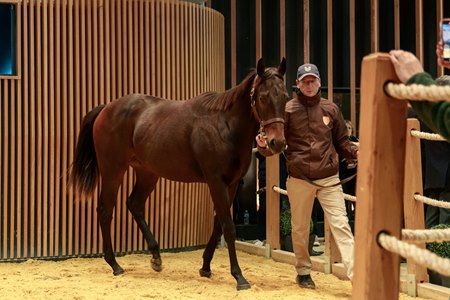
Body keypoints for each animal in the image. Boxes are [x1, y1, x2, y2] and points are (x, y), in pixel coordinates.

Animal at [70, 57, 288, 290]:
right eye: (262, 97)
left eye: (285, 96)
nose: (277, 142)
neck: (224, 126)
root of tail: (106, 108)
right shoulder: (216, 182)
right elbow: (228, 227)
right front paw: (239, 277)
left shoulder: (231, 184)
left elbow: (218, 224)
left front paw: (206, 267)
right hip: (113, 170)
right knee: (105, 210)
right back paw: (115, 265)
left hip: (147, 173)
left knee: (134, 204)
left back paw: (156, 257)